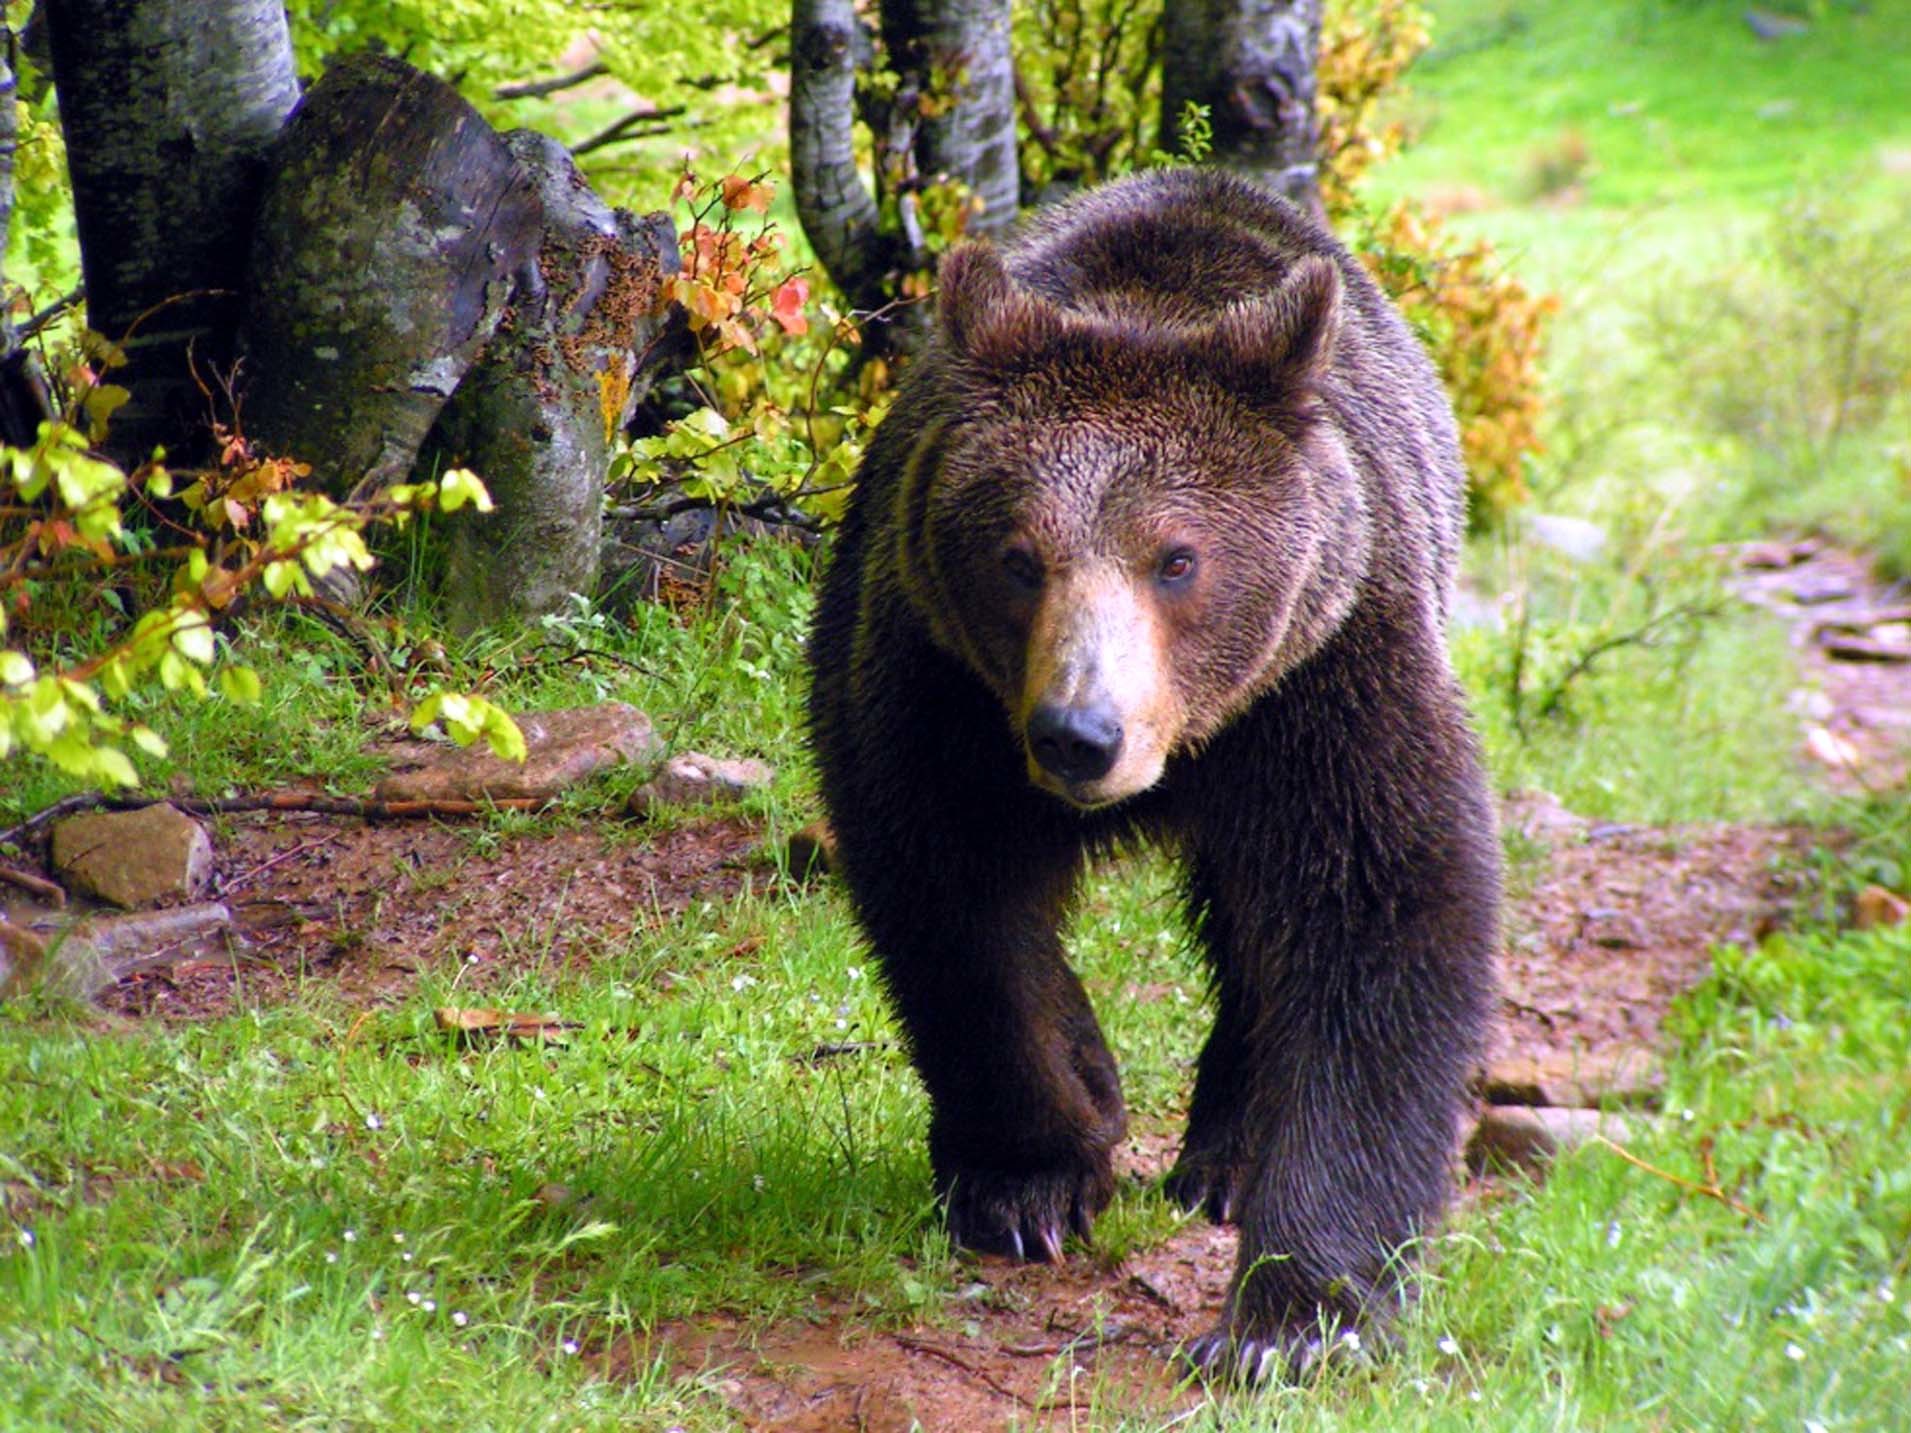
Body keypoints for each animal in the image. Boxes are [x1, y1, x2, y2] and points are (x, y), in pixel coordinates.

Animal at [798, 165, 1498, 1383]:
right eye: (1018, 556)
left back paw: (1226, 1151)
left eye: (1178, 557)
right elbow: (957, 907)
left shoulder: (1321, 680)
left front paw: (1291, 1315)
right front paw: (1032, 1176)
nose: (1081, 733)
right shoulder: (939, 687)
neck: (1185, 746)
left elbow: (1378, 916)